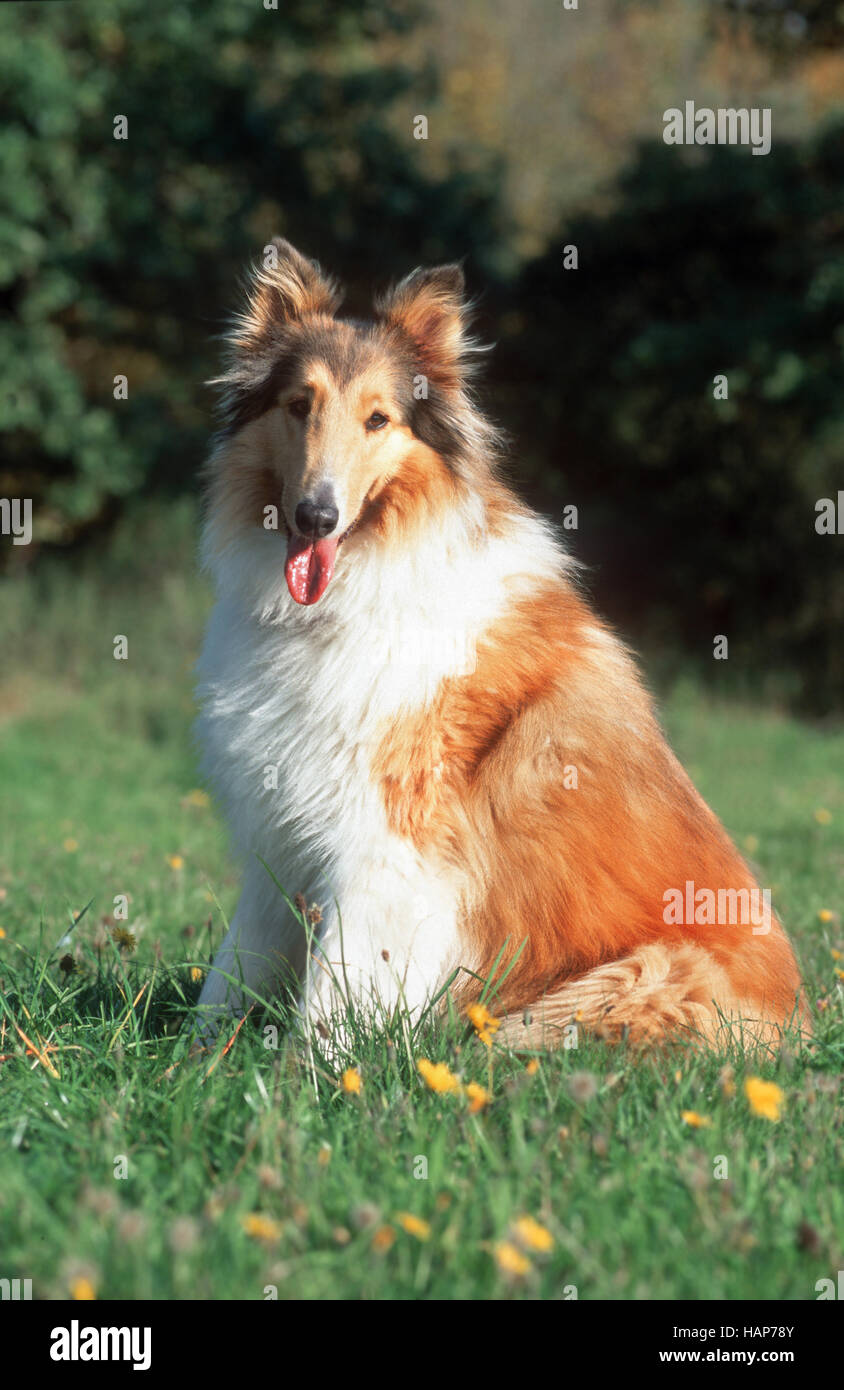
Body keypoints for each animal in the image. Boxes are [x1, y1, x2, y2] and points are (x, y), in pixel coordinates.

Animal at [194, 239, 806, 1045]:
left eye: (378, 419)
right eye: (299, 406)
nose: (315, 515)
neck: (362, 583)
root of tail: (800, 1018)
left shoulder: (388, 843)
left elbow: (334, 991)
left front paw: (313, 1070)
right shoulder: (281, 832)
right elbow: (234, 968)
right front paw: (196, 1058)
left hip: (632, 979)